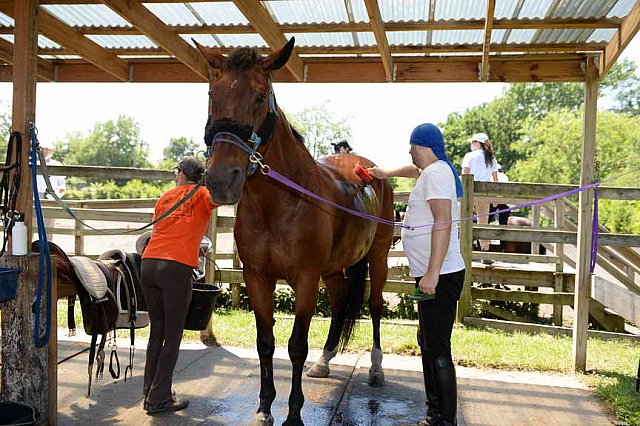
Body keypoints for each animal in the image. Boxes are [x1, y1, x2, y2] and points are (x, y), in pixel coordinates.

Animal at [195, 37, 396, 426]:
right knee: (339, 303)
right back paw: (326, 359)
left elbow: (296, 346)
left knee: (376, 305)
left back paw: (376, 368)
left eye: (260, 96)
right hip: (333, 269)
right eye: (211, 94)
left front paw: (293, 413)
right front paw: (263, 408)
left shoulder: (305, 279)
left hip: (377, 256)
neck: (280, 203)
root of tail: (366, 168)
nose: (221, 180)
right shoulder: (257, 277)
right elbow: (266, 343)